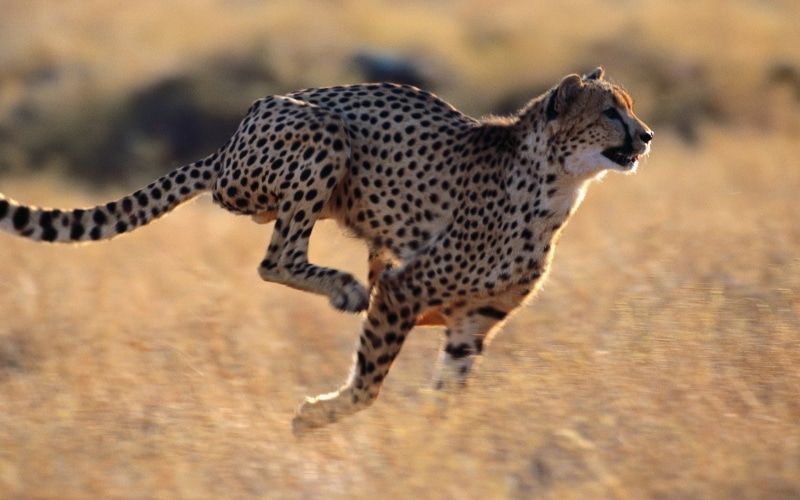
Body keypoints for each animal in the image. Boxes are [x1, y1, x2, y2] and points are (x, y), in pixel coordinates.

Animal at [0, 67, 652, 434]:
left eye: (629, 106)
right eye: (610, 111)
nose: (645, 135)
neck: (556, 184)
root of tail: (229, 142)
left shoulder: (475, 319)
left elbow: (448, 391)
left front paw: (439, 441)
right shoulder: (406, 288)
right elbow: (370, 382)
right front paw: (316, 416)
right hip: (319, 135)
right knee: (275, 258)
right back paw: (342, 287)